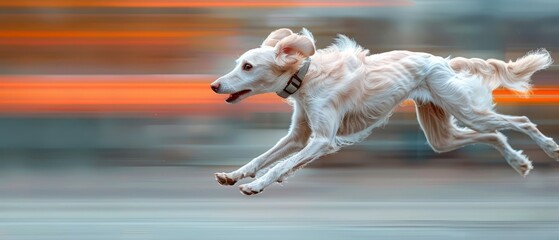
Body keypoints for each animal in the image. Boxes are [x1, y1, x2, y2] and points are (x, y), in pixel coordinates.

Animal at [211, 28, 559, 195]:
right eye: (238, 63)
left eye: (247, 66)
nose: (214, 85)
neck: (307, 77)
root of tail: (443, 61)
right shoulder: (298, 137)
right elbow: (262, 159)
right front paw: (233, 175)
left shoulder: (322, 139)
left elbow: (280, 165)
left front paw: (255, 186)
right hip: (442, 135)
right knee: (495, 135)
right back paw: (518, 162)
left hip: (466, 111)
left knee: (521, 120)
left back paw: (548, 147)